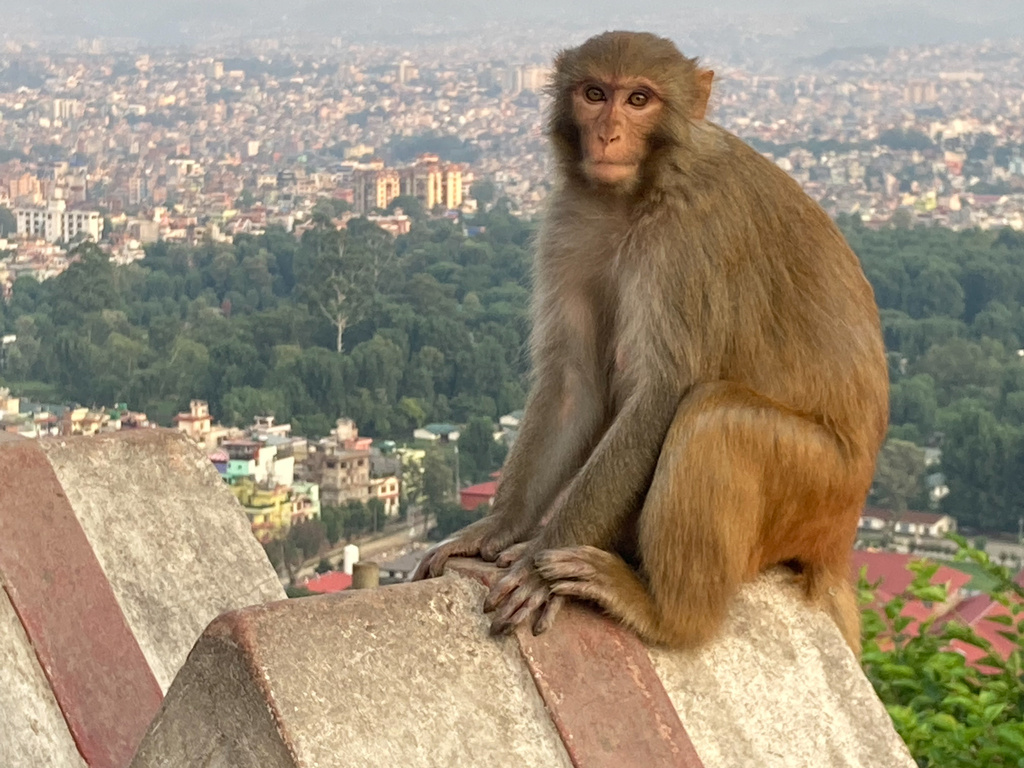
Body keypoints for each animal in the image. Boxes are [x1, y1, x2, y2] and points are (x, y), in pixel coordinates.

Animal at [412, 31, 888, 655]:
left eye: (639, 99)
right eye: (595, 93)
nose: (608, 133)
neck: (638, 191)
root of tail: (840, 544)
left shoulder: (691, 235)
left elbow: (664, 391)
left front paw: (539, 559)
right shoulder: (570, 218)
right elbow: (574, 382)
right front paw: (498, 527)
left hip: (818, 490)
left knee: (715, 417)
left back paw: (665, 612)